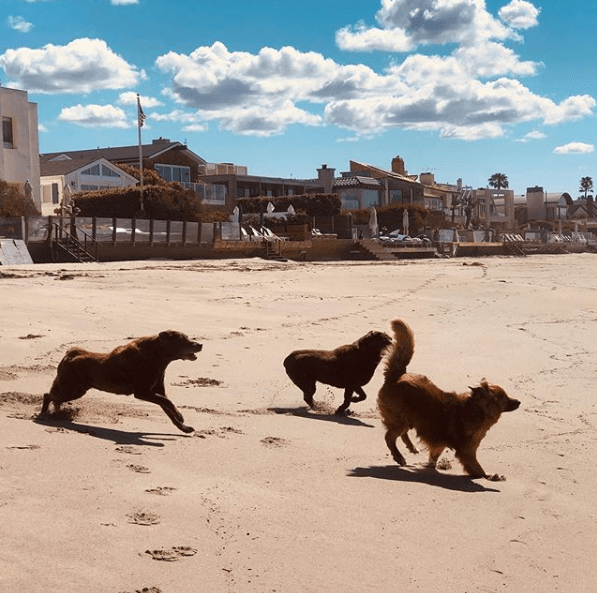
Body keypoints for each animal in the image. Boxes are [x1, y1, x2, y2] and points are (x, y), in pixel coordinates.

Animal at [40, 330, 203, 432]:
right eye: (183, 340)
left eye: (188, 337)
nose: (200, 344)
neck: (156, 358)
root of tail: (69, 355)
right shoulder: (142, 392)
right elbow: (168, 403)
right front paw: (181, 417)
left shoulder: (157, 390)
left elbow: (168, 407)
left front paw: (184, 427)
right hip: (71, 389)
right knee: (48, 395)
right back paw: (43, 414)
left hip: (76, 390)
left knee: (56, 399)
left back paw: (57, 414)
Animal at [380, 320, 520, 480]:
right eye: (504, 397)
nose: (519, 402)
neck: (475, 410)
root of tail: (397, 375)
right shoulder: (467, 452)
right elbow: (479, 470)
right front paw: (492, 476)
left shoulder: (440, 443)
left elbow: (434, 455)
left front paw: (430, 465)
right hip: (401, 420)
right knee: (389, 437)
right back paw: (398, 456)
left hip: (407, 419)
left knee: (401, 434)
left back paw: (411, 448)